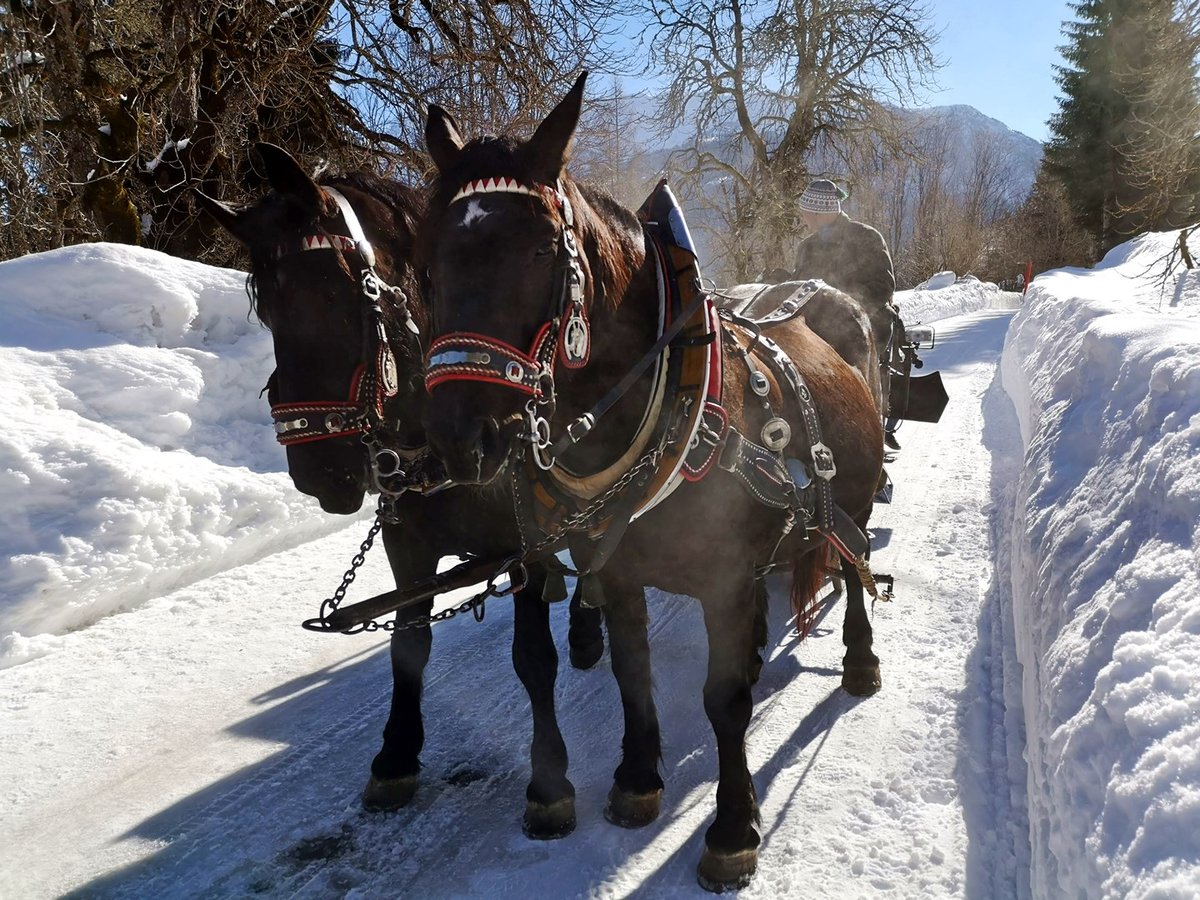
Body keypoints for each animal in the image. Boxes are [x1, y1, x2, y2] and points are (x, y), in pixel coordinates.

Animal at [202, 144, 609, 835]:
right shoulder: (407, 544)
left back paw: (585, 625)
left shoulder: (523, 539)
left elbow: (532, 654)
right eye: (268, 310)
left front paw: (548, 780)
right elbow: (408, 645)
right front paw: (395, 755)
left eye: (336, 293)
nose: (315, 469)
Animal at [417, 74, 888, 892]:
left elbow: (725, 701)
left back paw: (859, 657)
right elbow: (631, 671)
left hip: (850, 499)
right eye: (429, 254)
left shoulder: (725, 581)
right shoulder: (618, 569)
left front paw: (731, 829)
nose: (457, 436)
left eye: (540, 249)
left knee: (853, 565)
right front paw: (637, 780)